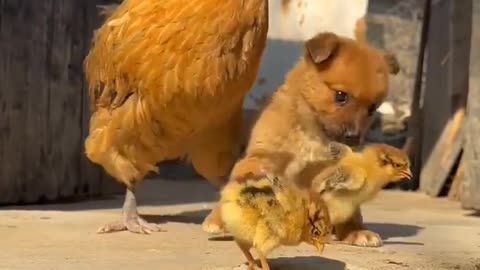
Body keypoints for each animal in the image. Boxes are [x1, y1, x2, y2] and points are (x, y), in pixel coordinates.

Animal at [204, 31, 400, 247]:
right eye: (341, 96)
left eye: (372, 108)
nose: (354, 137)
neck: (313, 131)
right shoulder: (264, 156)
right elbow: (241, 182)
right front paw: (218, 218)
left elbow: (350, 206)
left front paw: (354, 230)